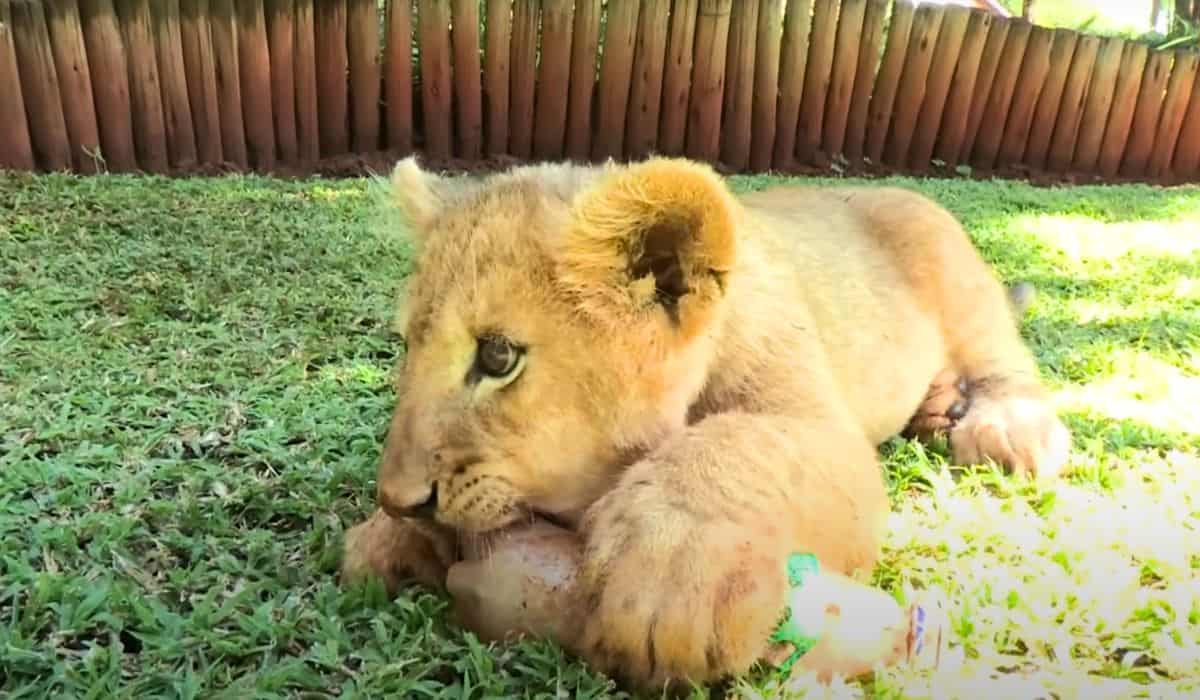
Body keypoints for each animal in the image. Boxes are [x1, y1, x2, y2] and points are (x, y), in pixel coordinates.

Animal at [340, 156, 1071, 692]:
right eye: (407, 346)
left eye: (497, 357)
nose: (396, 500)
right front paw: (382, 541)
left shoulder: (826, 431)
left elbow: (742, 441)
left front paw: (672, 577)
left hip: (956, 273)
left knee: (1003, 355)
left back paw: (1009, 429)